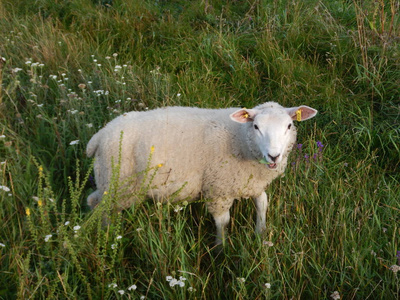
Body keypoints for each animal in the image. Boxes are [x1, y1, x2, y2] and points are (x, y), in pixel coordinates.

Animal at [86, 101, 318, 244]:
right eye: (256, 127)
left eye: (289, 125)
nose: (274, 156)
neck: (240, 139)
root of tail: (99, 135)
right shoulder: (218, 189)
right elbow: (223, 222)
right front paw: (220, 248)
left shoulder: (250, 182)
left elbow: (263, 203)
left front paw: (260, 234)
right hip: (116, 181)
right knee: (100, 205)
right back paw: (107, 233)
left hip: (114, 183)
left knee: (96, 201)